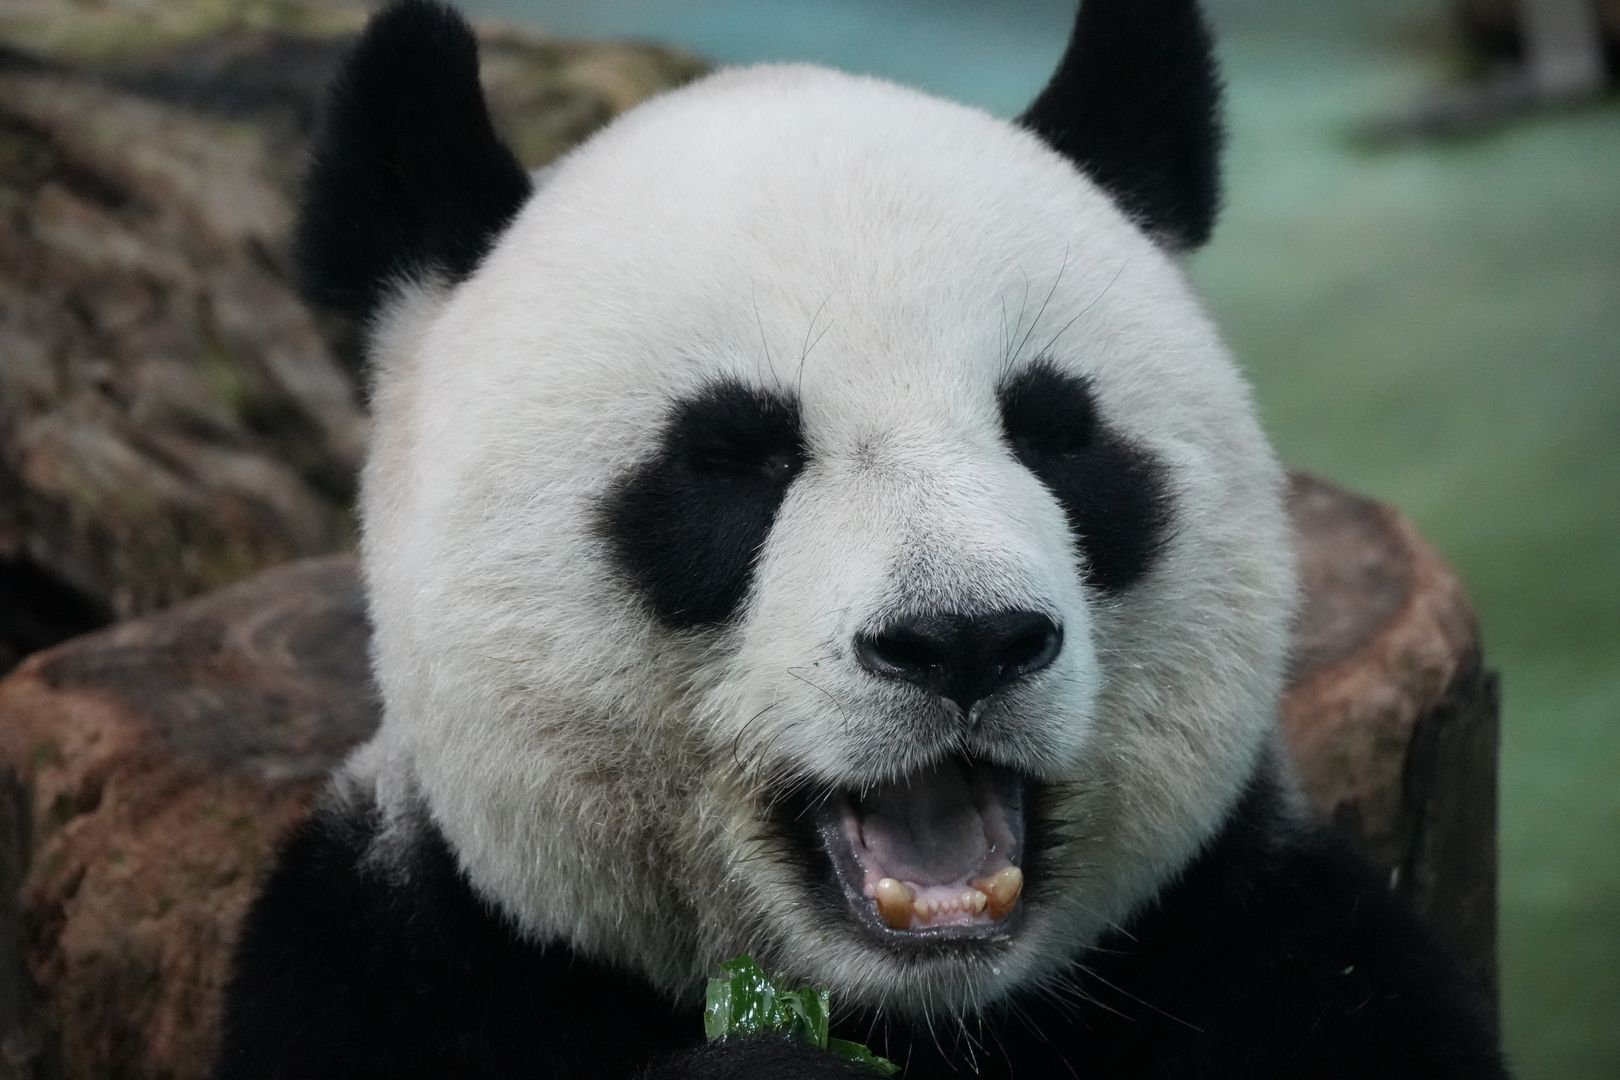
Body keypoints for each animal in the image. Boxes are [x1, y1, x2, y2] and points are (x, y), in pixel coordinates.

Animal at [215, 1, 1507, 1077]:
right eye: (735, 458)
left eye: (1055, 433)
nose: (966, 640)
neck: (924, 1013)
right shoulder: (399, 969)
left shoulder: (1268, 949)